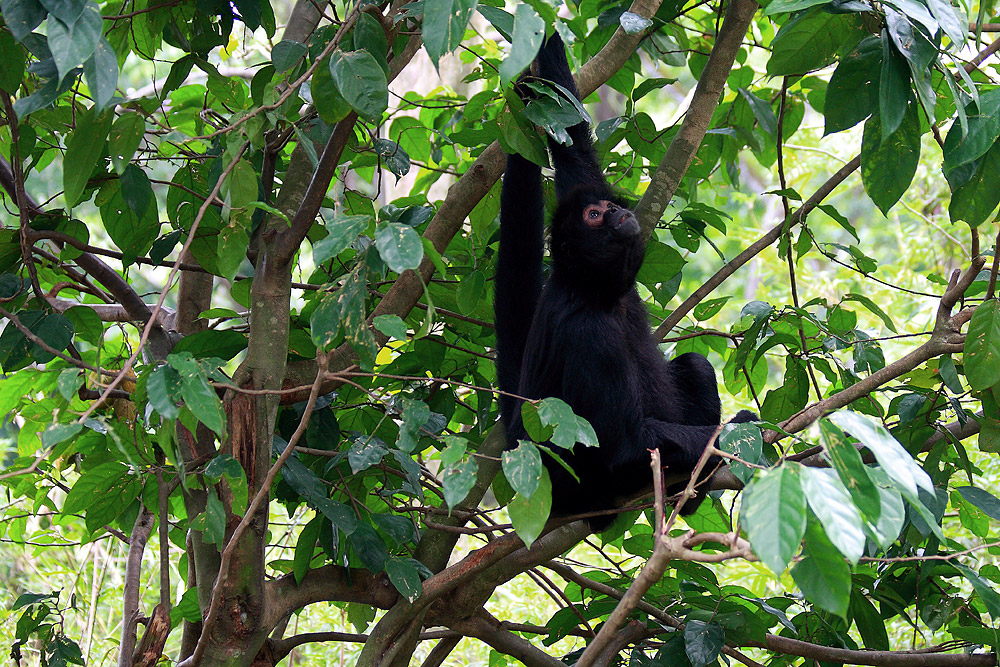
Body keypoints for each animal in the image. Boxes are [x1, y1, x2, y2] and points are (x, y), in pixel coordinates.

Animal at [496, 32, 752, 532]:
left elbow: (574, 147)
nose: (617, 212)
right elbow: (624, 446)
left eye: (605, 206)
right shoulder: (590, 337)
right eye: (595, 216)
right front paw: (741, 432)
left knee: (696, 363)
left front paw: (538, 66)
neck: (601, 294)